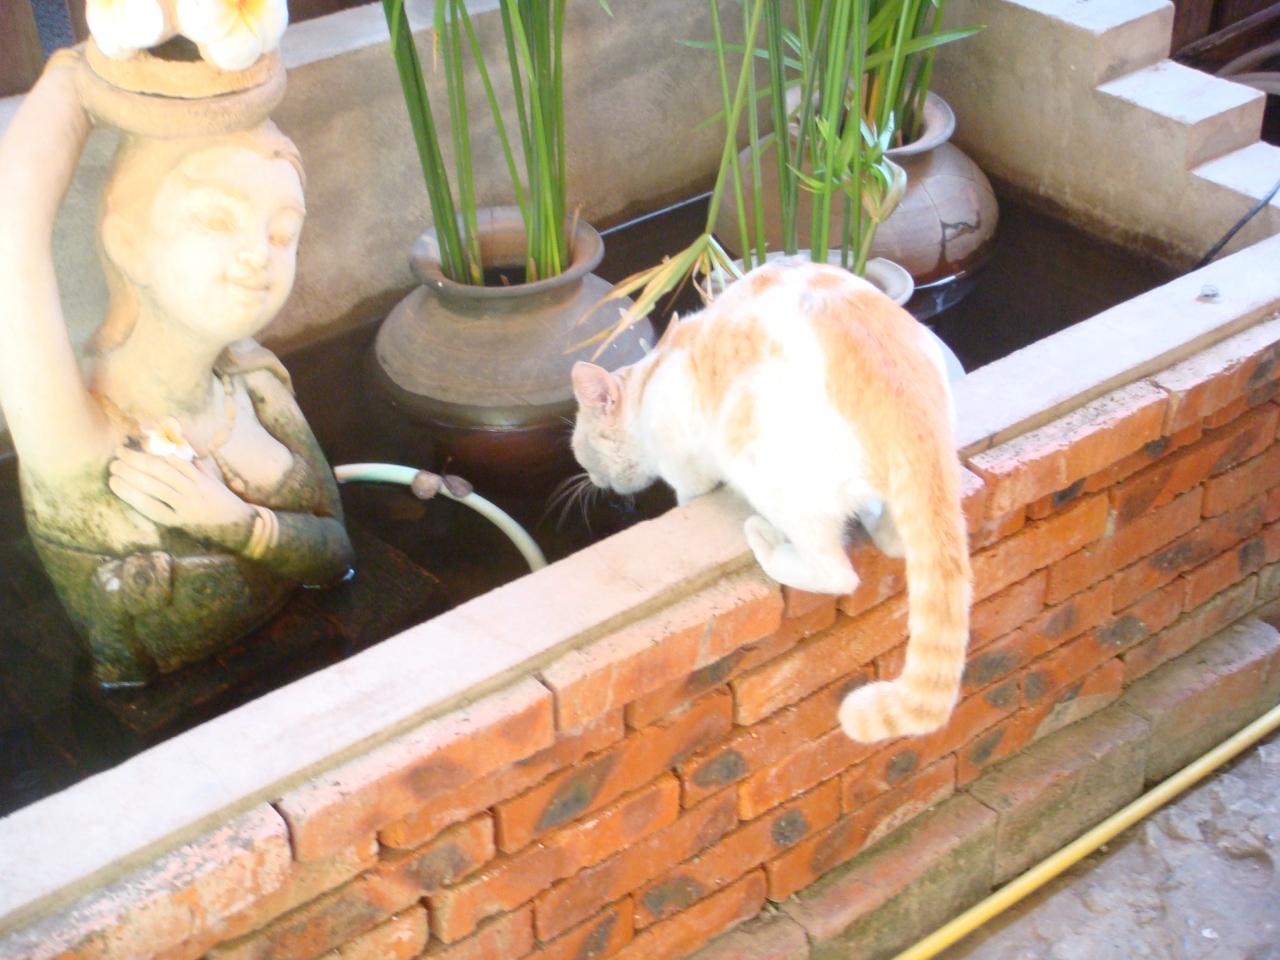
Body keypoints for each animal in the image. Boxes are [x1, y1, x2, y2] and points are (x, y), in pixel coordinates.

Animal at [570, 258, 972, 743]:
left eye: (581, 449)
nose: (590, 478)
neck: (649, 384)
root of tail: (913, 412)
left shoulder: (686, 465)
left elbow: (689, 493)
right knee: (897, 540)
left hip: (764, 466)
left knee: (836, 572)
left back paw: (768, 542)